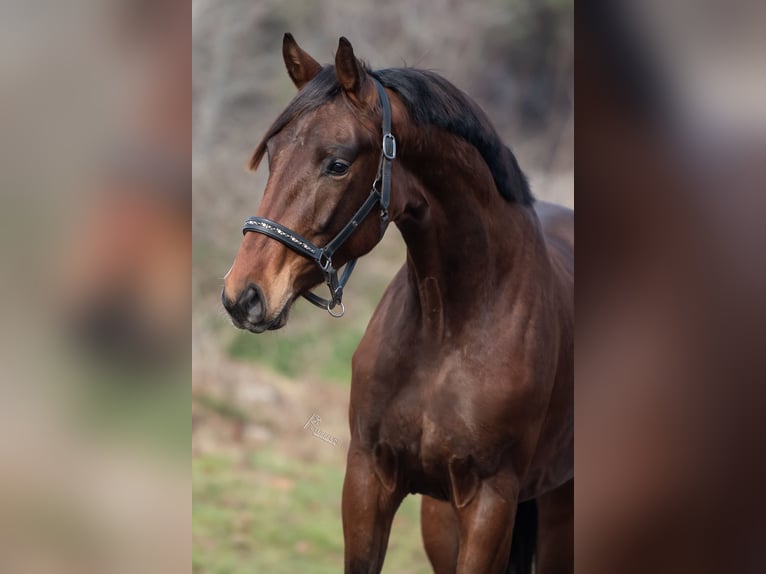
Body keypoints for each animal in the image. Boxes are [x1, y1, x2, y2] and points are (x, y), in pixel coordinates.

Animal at [222, 34, 573, 574]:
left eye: (338, 163)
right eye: (273, 154)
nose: (244, 294)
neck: (448, 324)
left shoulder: (490, 502)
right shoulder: (369, 480)